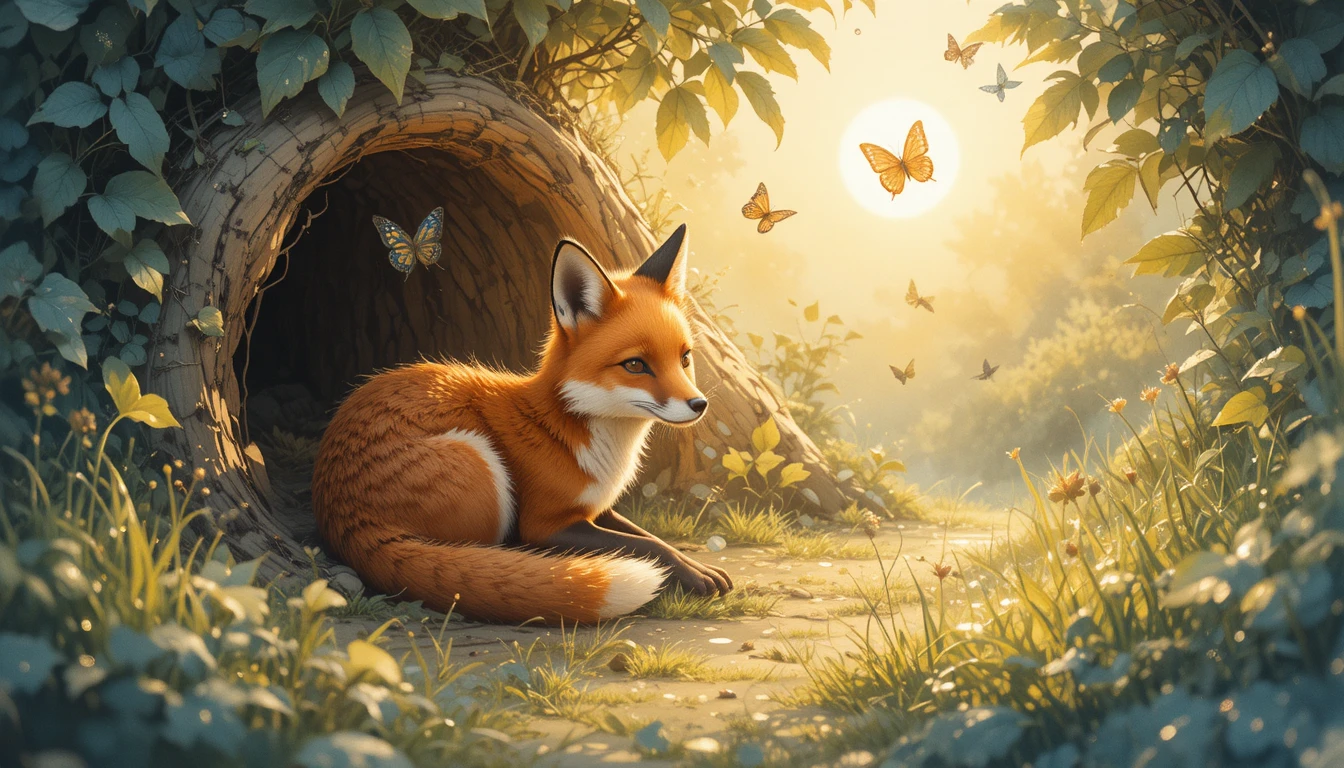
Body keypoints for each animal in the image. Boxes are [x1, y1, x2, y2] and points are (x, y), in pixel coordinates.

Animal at [310, 224, 733, 624]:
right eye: (635, 365)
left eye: (685, 358)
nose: (700, 405)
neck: (574, 433)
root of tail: (343, 517)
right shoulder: (547, 523)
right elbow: (645, 545)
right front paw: (690, 575)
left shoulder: (595, 510)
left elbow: (650, 537)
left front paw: (699, 568)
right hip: (480, 462)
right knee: (485, 551)